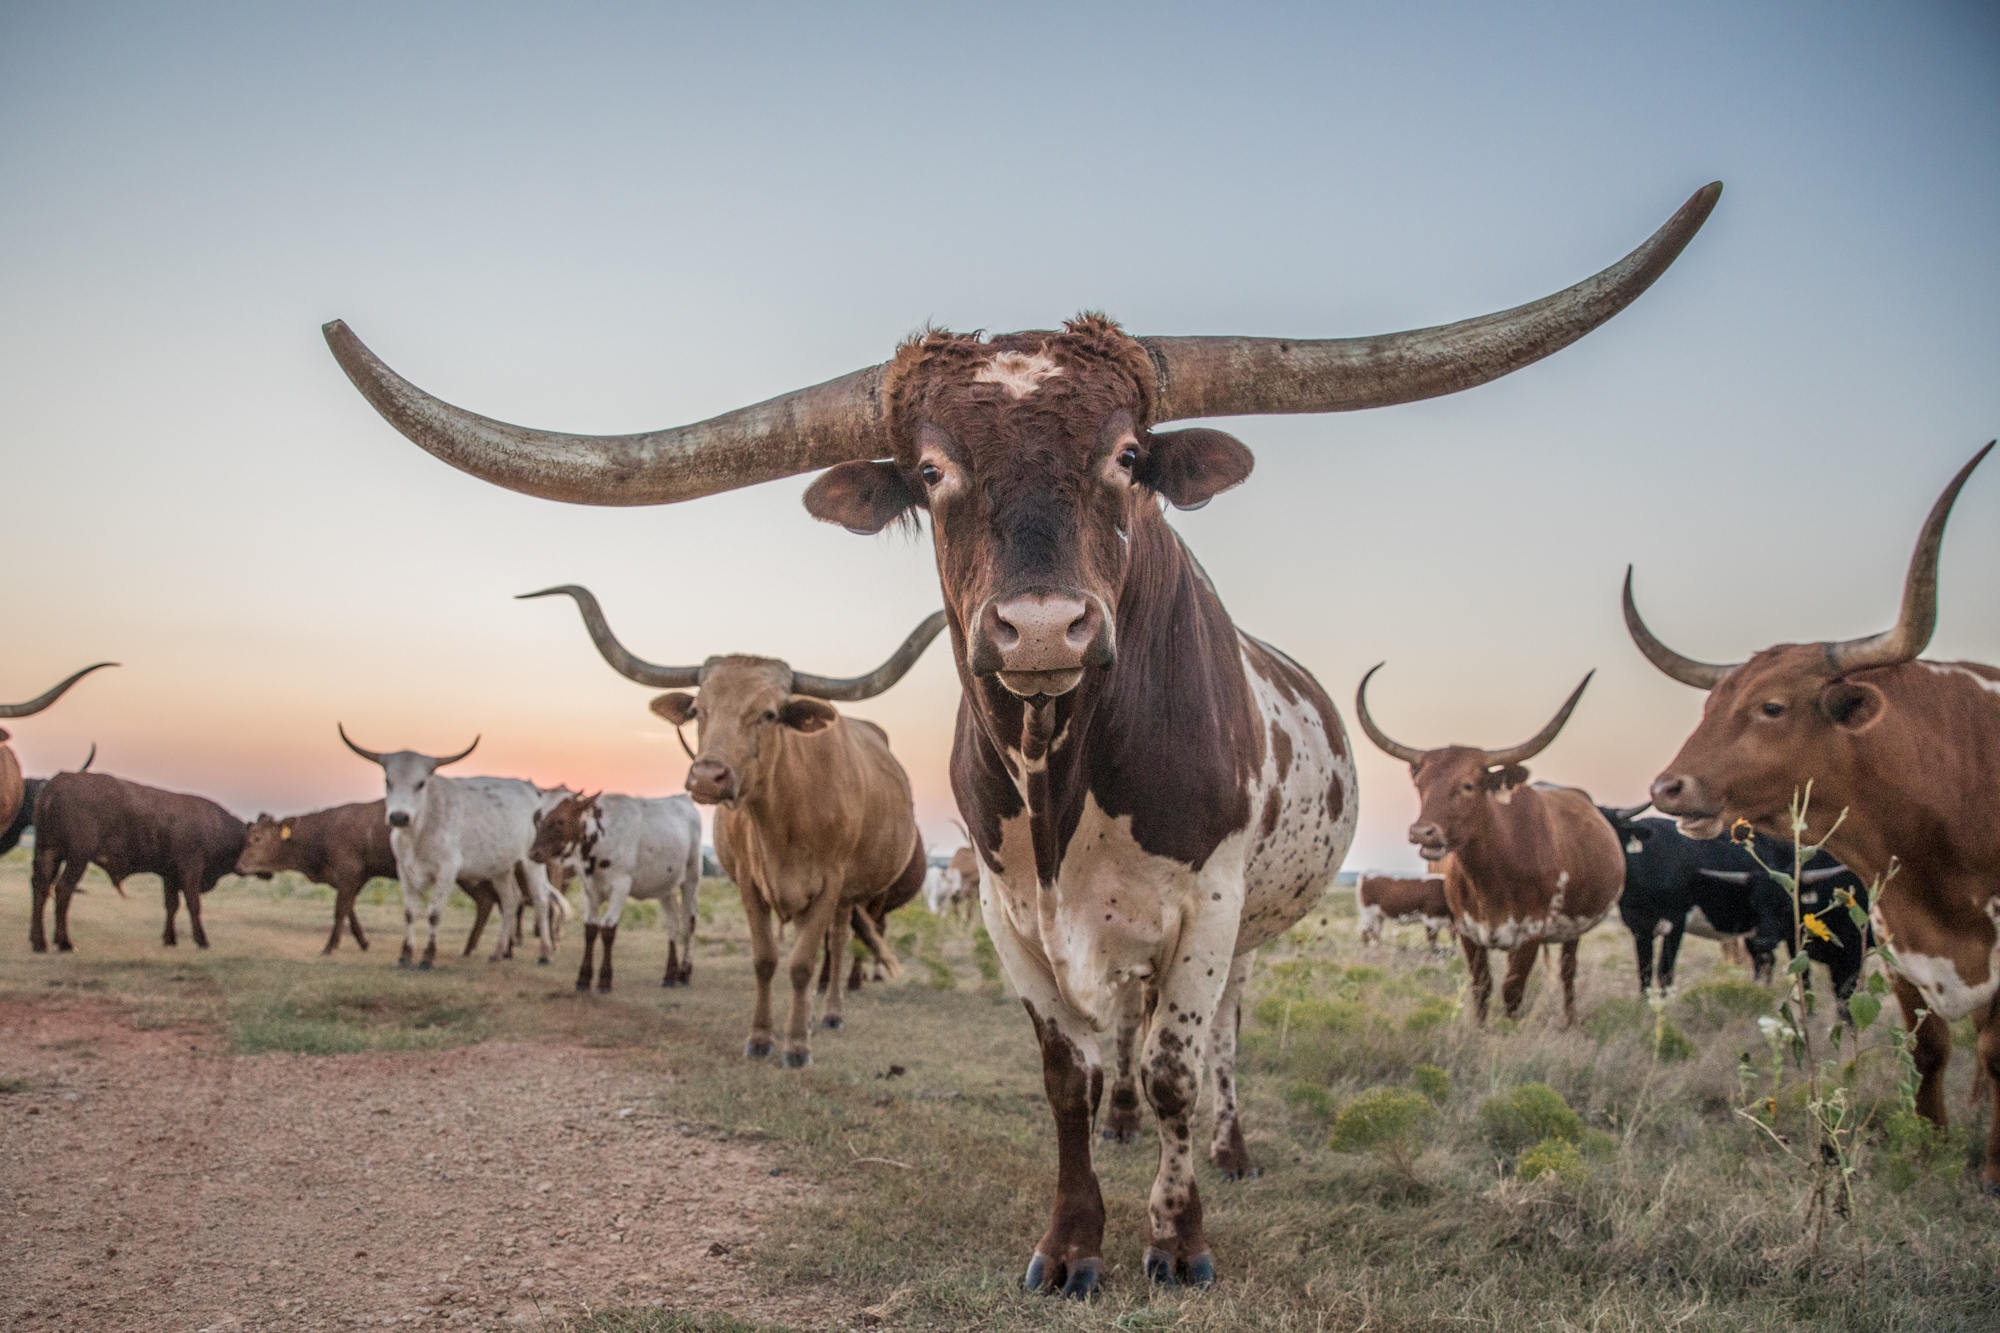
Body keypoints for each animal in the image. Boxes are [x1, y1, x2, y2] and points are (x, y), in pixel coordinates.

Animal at [29, 771, 245, 952]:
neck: (216, 826)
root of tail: (56, 784)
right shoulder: (189, 871)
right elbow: (193, 904)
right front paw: (202, 940)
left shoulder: (169, 876)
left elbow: (172, 905)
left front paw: (170, 939)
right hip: (77, 858)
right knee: (63, 889)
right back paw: (65, 942)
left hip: (48, 853)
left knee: (40, 887)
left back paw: (39, 942)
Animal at [336, 729, 561, 969]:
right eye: (388, 781)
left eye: (421, 783)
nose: (399, 817)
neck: (419, 830)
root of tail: (532, 790)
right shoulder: (404, 870)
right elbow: (409, 913)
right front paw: (405, 955)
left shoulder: (447, 870)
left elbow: (434, 913)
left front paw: (428, 957)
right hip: (500, 866)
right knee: (510, 901)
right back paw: (498, 952)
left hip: (532, 860)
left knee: (540, 900)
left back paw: (545, 953)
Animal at [529, 790, 703, 992]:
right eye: (537, 818)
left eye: (560, 821)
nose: (533, 853)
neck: (601, 837)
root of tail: (682, 798)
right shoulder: (588, 888)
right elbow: (590, 929)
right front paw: (583, 978)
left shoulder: (621, 885)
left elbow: (608, 929)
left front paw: (605, 980)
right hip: (664, 886)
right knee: (673, 922)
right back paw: (670, 975)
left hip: (691, 879)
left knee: (689, 922)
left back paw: (685, 972)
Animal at [1357, 667, 1624, 1027]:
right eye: (1420, 784)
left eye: (1469, 785)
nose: (1422, 832)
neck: (1492, 875)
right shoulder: (1469, 933)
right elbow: (1481, 987)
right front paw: (1481, 1031)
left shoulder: (1529, 935)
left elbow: (1512, 992)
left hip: (1573, 927)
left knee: (1568, 972)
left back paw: (1569, 1022)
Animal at [1628, 442, 2000, 1190]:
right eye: (1709, 706)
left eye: (1772, 707)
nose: (1666, 786)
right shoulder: (1898, 946)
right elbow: (1929, 1050)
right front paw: (1929, 1149)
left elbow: (1998, 1055)